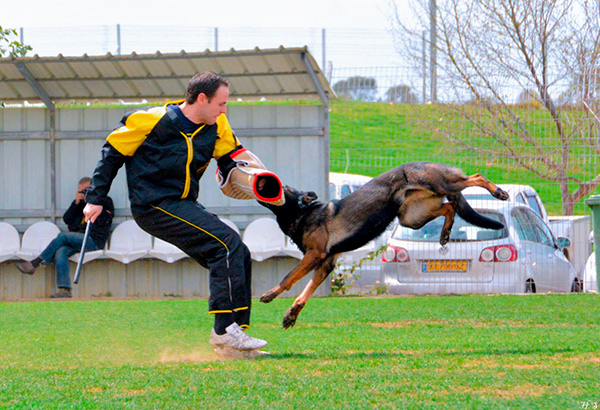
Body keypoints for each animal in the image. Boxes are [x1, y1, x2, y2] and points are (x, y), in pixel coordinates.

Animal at [260, 162, 508, 328]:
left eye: (284, 187)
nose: (263, 178)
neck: (302, 213)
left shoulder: (314, 256)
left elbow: (288, 278)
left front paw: (271, 294)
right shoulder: (325, 264)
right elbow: (306, 292)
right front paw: (292, 314)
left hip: (442, 184)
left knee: (475, 177)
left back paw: (498, 191)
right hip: (412, 217)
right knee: (449, 207)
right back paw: (445, 232)